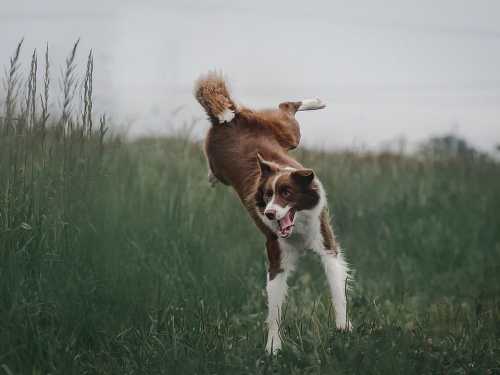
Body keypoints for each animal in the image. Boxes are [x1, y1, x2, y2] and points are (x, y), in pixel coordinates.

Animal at [193, 72, 350, 356]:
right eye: (267, 195)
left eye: (287, 193)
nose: (269, 213)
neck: (298, 228)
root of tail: (228, 119)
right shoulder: (276, 257)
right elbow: (274, 310)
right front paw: (273, 348)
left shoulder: (326, 245)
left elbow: (337, 289)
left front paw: (344, 327)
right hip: (233, 155)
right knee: (284, 108)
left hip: (288, 134)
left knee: (287, 107)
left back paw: (317, 102)